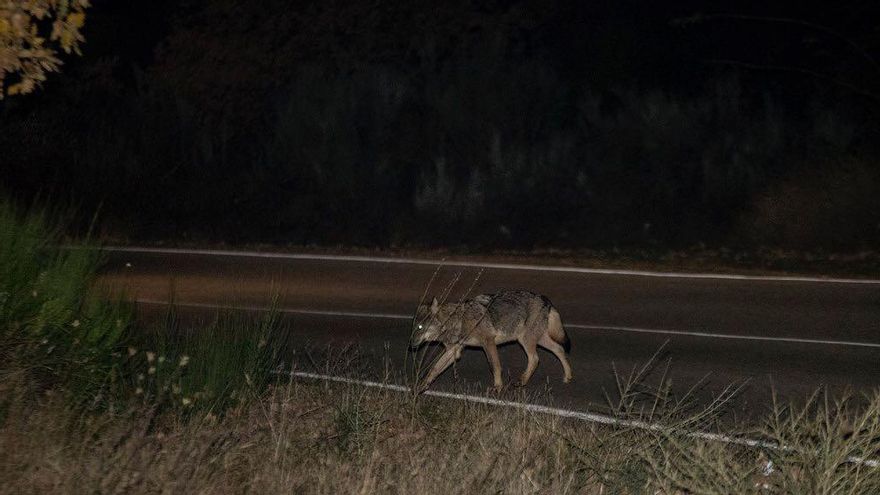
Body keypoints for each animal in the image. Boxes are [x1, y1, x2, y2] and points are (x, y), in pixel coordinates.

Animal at [410, 290, 576, 392]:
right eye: (413, 328)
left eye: (420, 327)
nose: (411, 346)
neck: (458, 320)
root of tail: (546, 300)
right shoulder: (453, 351)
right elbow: (434, 369)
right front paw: (420, 386)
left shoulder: (488, 342)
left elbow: (495, 366)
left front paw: (497, 387)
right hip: (539, 340)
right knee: (559, 349)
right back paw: (567, 377)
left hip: (525, 340)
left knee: (535, 359)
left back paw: (522, 381)